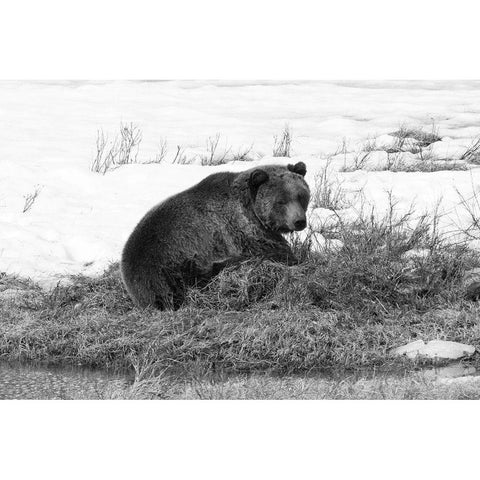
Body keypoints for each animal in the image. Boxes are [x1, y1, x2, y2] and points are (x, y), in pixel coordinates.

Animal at [121, 161, 312, 310]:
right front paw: (292, 257)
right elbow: (274, 249)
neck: (251, 208)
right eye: (281, 201)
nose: (299, 221)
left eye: (301, 196)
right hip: (175, 262)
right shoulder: (242, 231)